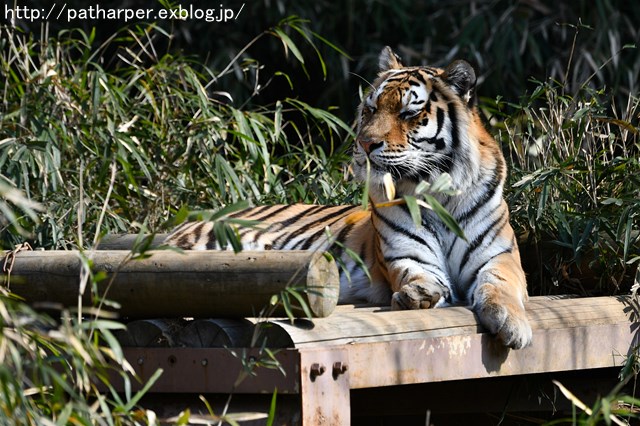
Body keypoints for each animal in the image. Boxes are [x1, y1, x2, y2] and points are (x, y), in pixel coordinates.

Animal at [165, 46, 528, 350]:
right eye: (371, 109)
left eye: (408, 114)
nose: (365, 144)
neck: (435, 189)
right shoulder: (408, 256)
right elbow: (419, 274)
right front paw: (419, 294)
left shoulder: (499, 256)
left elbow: (500, 283)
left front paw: (513, 325)